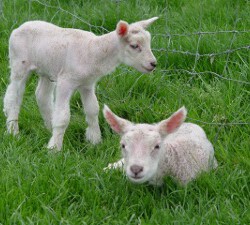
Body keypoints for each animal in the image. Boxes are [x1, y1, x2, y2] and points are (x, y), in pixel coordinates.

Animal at [2, 17, 157, 150]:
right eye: (134, 46)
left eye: (149, 43)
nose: (153, 63)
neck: (94, 50)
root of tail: (21, 26)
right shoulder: (65, 82)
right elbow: (63, 116)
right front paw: (54, 148)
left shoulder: (87, 84)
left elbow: (92, 110)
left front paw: (95, 140)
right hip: (19, 64)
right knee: (13, 97)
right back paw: (13, 131)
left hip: (47, 69)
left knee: (42, 96)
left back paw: (49, 128)